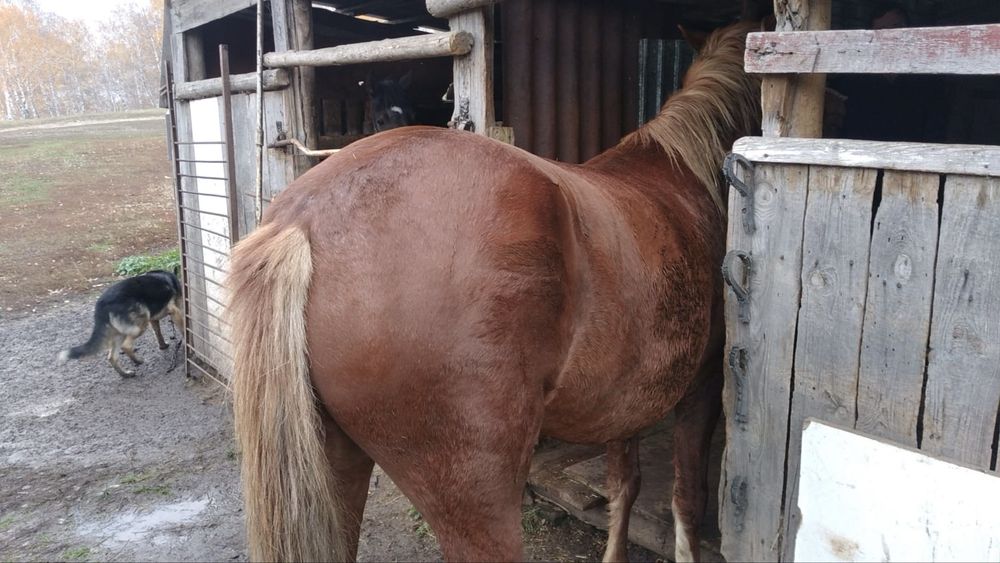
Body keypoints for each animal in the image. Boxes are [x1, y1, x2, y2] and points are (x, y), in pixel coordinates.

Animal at [226, 21, 760, 563]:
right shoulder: (701, 386)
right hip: (477, 492)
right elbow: (686, 501)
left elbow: (624, 487)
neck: (684, 173)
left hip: (335, 464)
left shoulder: (628, 401)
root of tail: (303, 220)